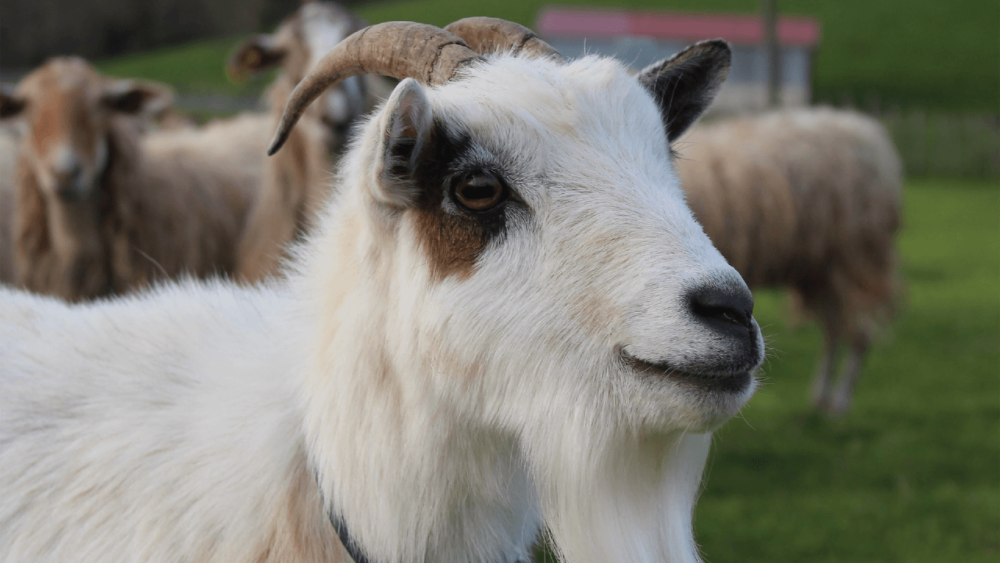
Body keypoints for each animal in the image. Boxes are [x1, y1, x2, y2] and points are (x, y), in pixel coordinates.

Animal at [676, 107, 904, 414]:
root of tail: (865, 129)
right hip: (821, 269)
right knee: (835, 330)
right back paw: (820, 397)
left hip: (856, 257)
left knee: (860, 333)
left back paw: (839, 403)